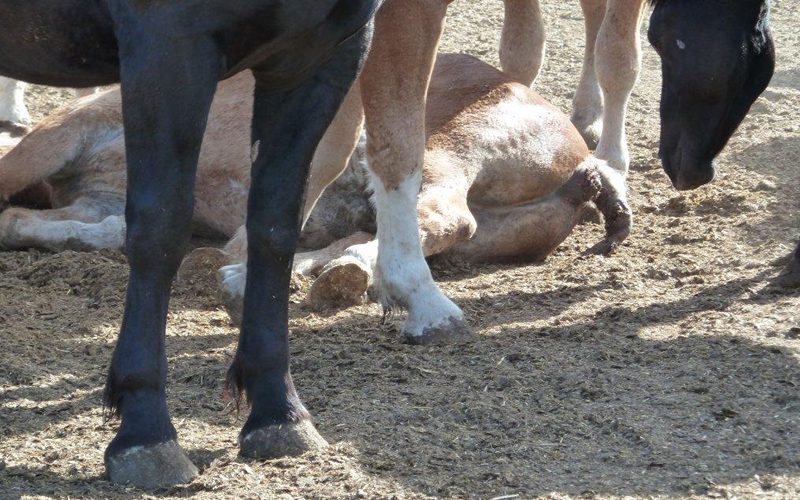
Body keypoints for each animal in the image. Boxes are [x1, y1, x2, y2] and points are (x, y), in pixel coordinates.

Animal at [0, 0, 382, 488]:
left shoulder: (320, 57)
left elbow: (276, 225)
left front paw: (279, 413)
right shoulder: (169, 50)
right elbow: (160, 228)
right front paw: (145, 431)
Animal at [0, 53, 632, 316]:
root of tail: (584, 169)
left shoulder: (62, 134)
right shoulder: (99, 201)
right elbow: (88, 227)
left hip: (450, 150)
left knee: (444, 216)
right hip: (486, 228)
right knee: (401, 236)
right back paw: (329, 275)